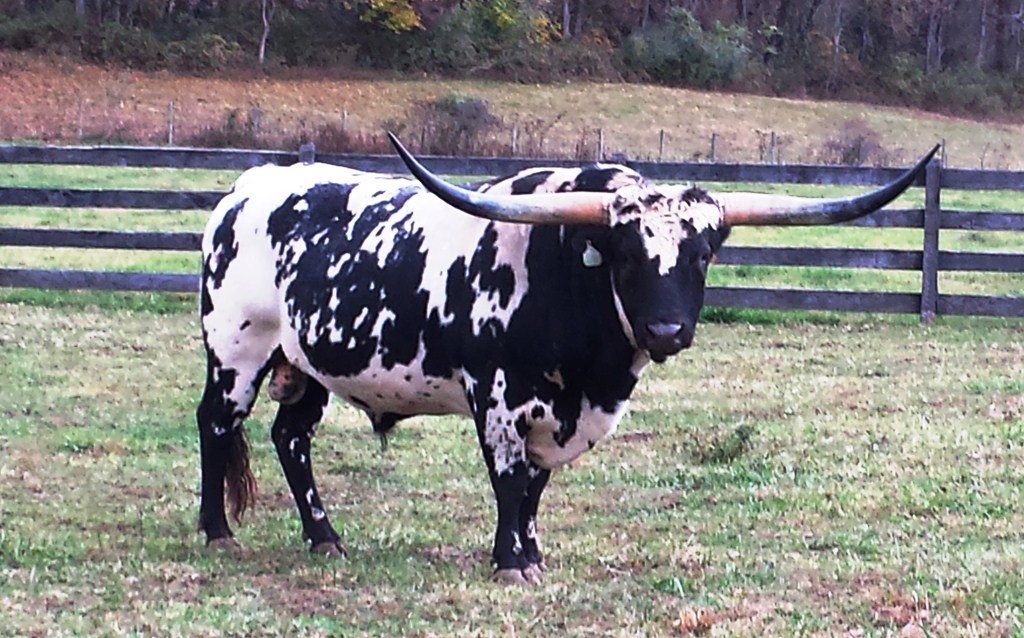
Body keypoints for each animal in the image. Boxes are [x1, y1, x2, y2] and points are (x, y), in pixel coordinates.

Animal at [196, 135, 937, 584]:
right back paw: (217, 532)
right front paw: (509, 561)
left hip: (305, 363)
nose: (667, 329)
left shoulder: (561, 413)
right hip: (237, 347)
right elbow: (508, 480)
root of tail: (250, 185)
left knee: (291, 438)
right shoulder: (495, 396)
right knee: (218, 424)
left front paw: (533, 552)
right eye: (626, 256)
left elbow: (536, 487)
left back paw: (324, 538)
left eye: (701, 256)